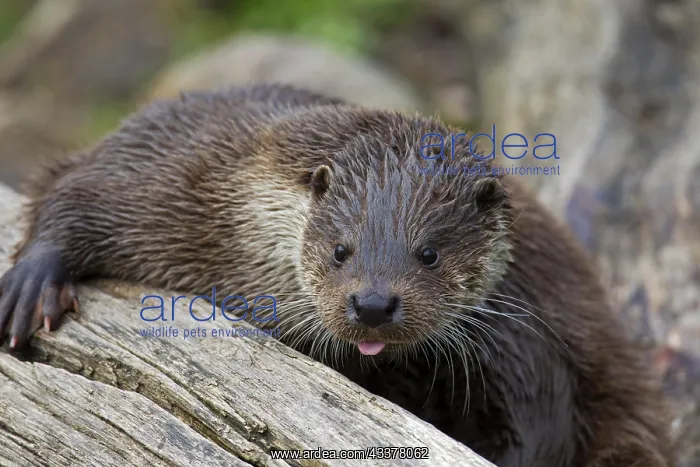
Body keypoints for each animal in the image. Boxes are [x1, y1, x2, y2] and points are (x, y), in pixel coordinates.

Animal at [0, 84, 672, 466]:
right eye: (341, 250)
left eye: (430, 254)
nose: (373, 304)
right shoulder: (166, 174)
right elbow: (78, 192)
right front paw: (32, 281)